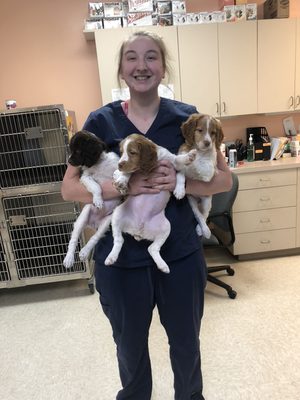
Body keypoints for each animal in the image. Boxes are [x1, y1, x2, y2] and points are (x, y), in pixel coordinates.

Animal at [62, 131, 120, 268]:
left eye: (78, 151)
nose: (69, 161)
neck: (98, 164)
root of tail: (94, 223)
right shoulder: (85, 177)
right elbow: (96, 186)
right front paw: (98, 200)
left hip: (107, 221)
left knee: (95, 237)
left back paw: (84, 252)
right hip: (83, 216)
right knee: (73, 239)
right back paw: (69, 258)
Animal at [104, 133, 196, 274]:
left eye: (132, 152)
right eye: (121, 152)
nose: (119, 164)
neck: (150, 166)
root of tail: (138, 231)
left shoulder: (171, 163)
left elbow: (180, 169)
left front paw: (180, 189)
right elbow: (126, 173)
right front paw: (122, 181)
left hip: (166, 227)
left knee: (152, 248)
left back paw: (163, 265)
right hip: (118, 214)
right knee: (119, 240)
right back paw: (111, 257)